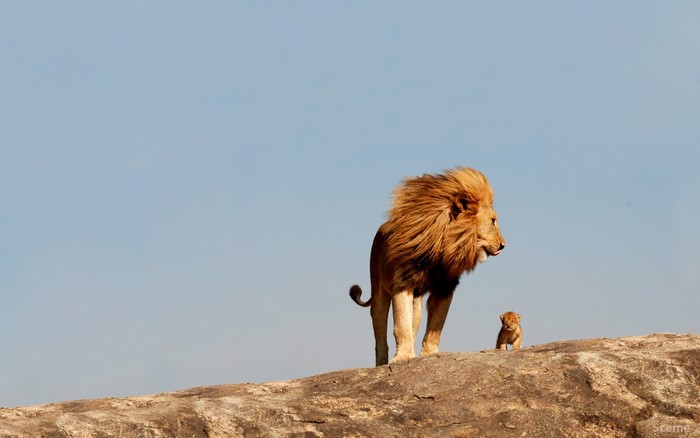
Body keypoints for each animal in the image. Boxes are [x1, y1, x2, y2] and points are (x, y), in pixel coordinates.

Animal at [349, 167, 505, 366]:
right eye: (493, 221)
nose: (503, 245)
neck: (442, 246)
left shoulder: (445, 287)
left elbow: (435, 326)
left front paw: (429, 355)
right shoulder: (402, 283)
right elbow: (401, 325)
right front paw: (403, 357)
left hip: (416, 302)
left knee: (414, 323)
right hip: (378, 291)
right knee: (380, 330)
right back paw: (382, 362)